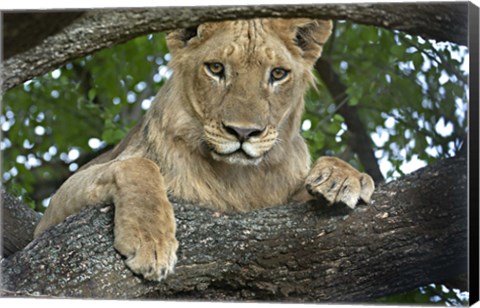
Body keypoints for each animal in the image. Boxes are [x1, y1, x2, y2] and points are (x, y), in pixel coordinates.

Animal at [35, 17, 376, 282]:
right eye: (215, 68)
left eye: (278, 74)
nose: (243, 132)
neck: (237, 176)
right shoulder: (49, 218)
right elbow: (139, 166)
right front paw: (151, 241)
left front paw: (343, 177)